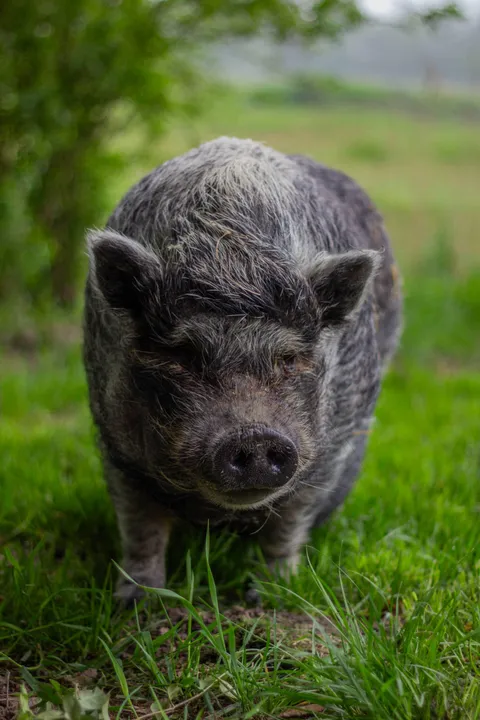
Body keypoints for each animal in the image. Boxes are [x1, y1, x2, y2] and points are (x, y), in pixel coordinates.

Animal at [83, 137, 402, 604]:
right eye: (183, 354)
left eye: (289, 359)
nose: (253, 435)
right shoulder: (116, 444)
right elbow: (141, 527)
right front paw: (136, 601)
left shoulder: (327, 453)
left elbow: (288, 525)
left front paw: (271, 593)